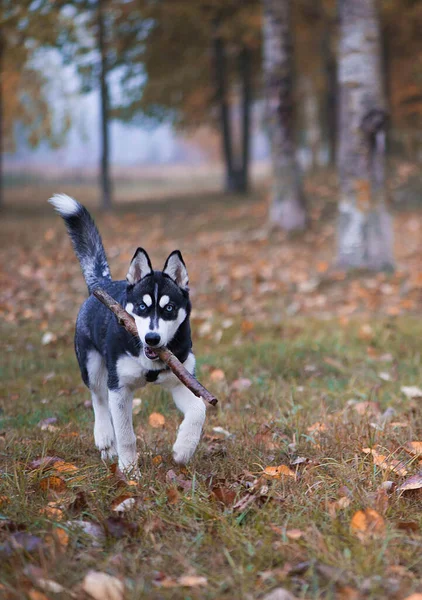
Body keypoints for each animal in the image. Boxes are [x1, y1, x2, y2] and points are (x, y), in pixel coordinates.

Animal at [50, 195, 205, 476]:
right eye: (142, 307)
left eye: (169, 308)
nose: (152, 338)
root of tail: (102, 283)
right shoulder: (119, 386)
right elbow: (125, 435)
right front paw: (130, 472)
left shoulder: (181, 380)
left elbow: (199, 410)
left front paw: (183, 449)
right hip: (91, 365)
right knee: (99, 398)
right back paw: (104, 439)